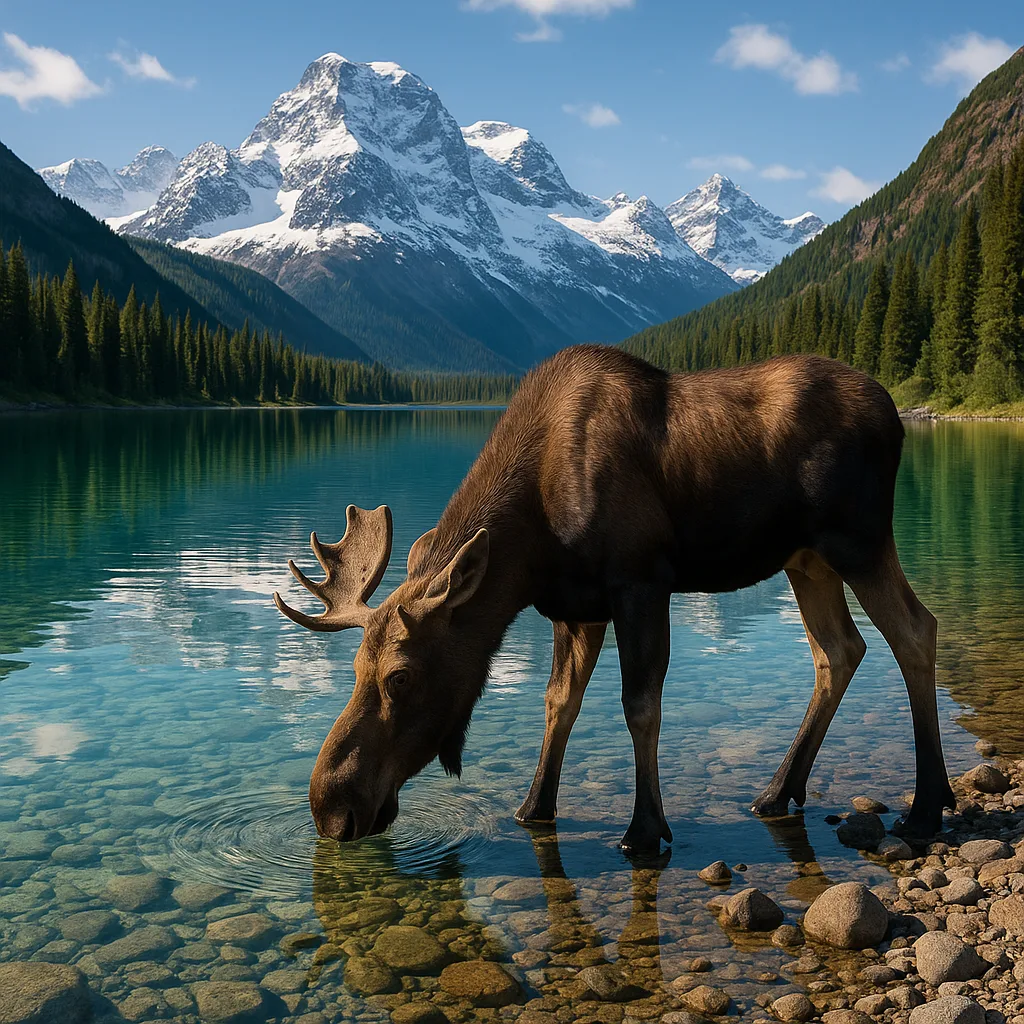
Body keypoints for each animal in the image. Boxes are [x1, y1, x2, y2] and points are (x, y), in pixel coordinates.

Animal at [274, 344, 956, 854]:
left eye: (400, 677)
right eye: (355, 668)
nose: (330, 807)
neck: (530, 544)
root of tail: (895, 413)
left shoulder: (641, 580)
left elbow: (639, 706)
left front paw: (645, 828)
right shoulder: (575, 607)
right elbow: (559, 703)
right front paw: (533, 807)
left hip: (858, 539)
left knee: (915, 630)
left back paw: (927, 805)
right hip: (806, 560)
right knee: (839, 650)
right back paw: (778, 791)